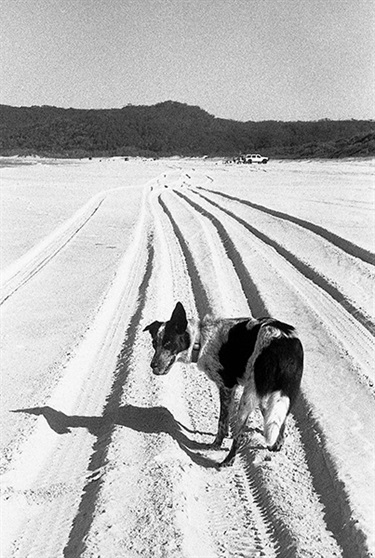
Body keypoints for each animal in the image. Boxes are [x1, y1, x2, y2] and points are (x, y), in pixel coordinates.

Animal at [142, 304, 304, 466]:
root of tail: (283, 342)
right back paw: (275, 445)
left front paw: (216, 444)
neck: (201, 339)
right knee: (280, 419)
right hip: (275, 392)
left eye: (168, 343)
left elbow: (222, 422)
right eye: (154, 344)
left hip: (247, 397)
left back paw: (228, 461)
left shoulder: (227, 387)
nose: (152, 365)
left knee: (239, 436)